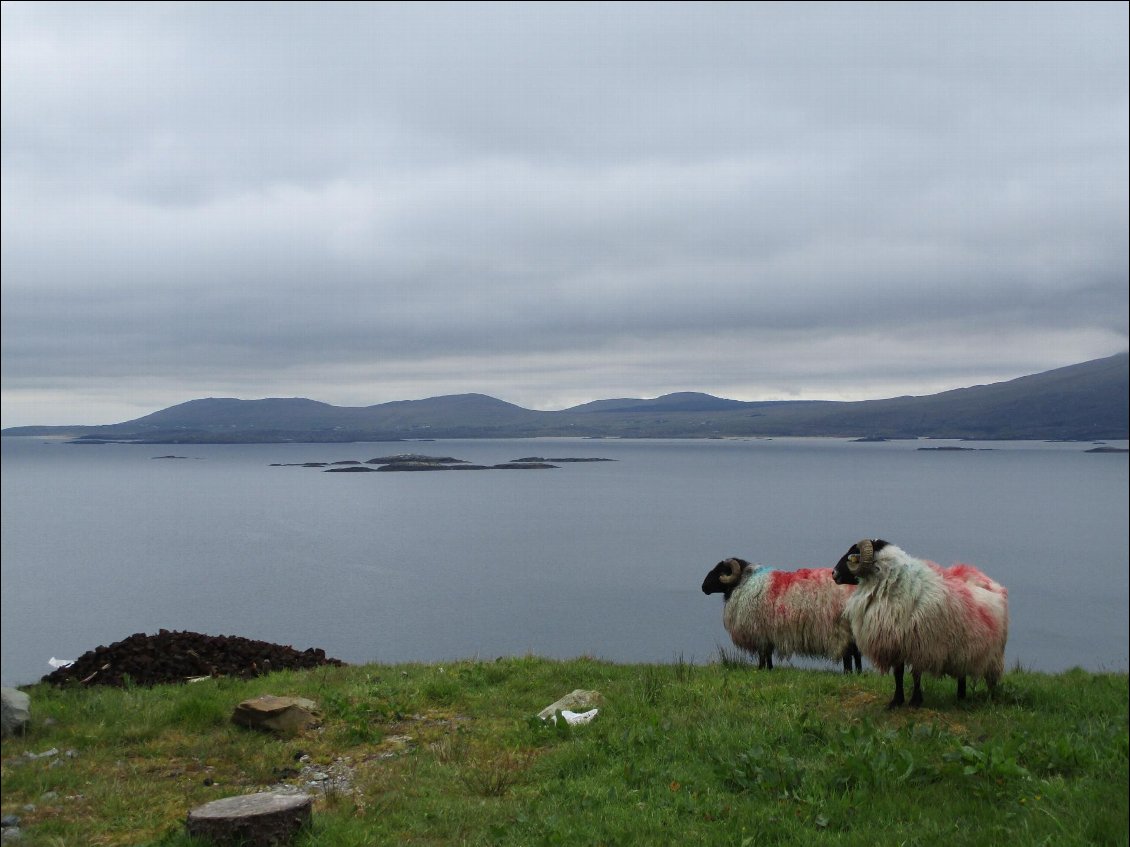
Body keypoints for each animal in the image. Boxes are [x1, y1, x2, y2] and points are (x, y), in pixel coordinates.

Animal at [700, 557, 858, 677]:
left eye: (720, 571)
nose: (703, 587)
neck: (743, 583)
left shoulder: (759, 631)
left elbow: (762, 654)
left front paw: (760, 669)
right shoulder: (768, 633)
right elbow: (768, 654)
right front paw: (769, 669)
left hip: (842, 630)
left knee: (848, 654)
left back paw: (848, 673)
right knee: (855, 653)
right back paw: (857, 673)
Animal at [831, 544, 1007, 709]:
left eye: (853, 555)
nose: (833, 573)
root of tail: (986, 579)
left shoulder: (920, 644)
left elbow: (916, 674)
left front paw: (915, 702)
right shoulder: (896, 644)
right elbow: (898, 674)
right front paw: (896, 702)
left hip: (994, 654)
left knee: (991, 679)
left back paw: (990, 699)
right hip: (963, 650)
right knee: (962, 673)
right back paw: (961, 697)